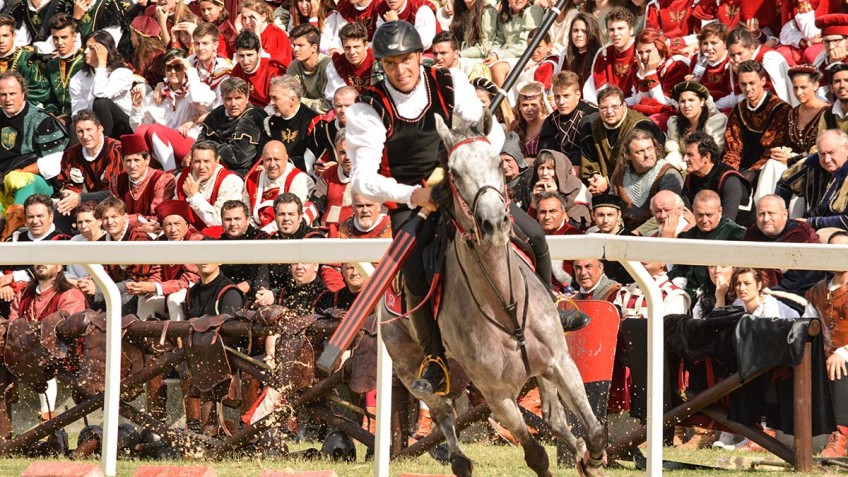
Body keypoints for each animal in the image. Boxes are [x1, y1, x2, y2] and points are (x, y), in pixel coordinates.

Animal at [380, 112, 608, 476]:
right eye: (454, 172)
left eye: (498, 164)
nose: (494, 223)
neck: (503, 303)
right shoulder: (497, 395)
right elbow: (536, 455)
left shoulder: (560, 363)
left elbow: (595, 431)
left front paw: (593, 459)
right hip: (408, 361)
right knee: (443, 412)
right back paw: (458, 458)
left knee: (555, 419)